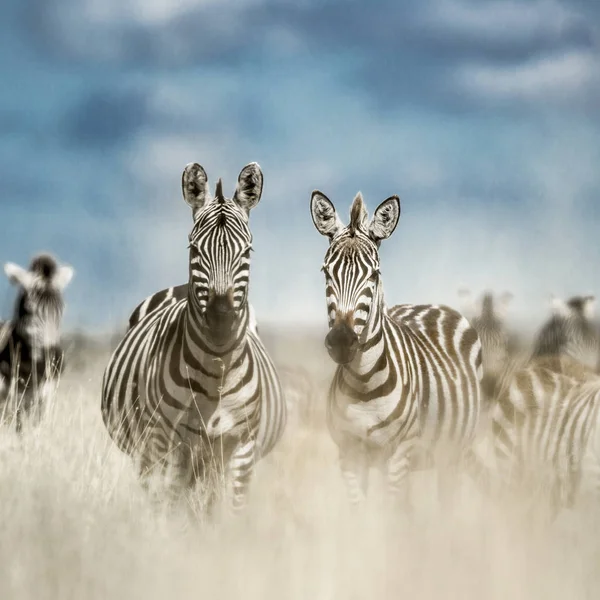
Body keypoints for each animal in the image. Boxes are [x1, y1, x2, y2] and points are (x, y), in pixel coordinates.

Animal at [101, 162, 286, 512]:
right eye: (194, 248)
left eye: (247, 251)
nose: (220, 318)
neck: (216, 373)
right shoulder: (166, 441)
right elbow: (172, 506)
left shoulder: (241, 445)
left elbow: (231, 509)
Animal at [310, 190, 482, 508]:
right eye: (326, 272)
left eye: (374, 275)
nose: (341, 341)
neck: (363, 386)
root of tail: (431, 304)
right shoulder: (350, 453)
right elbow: (360, 510)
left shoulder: (399, 454)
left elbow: (392, 512)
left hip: (452, 453)